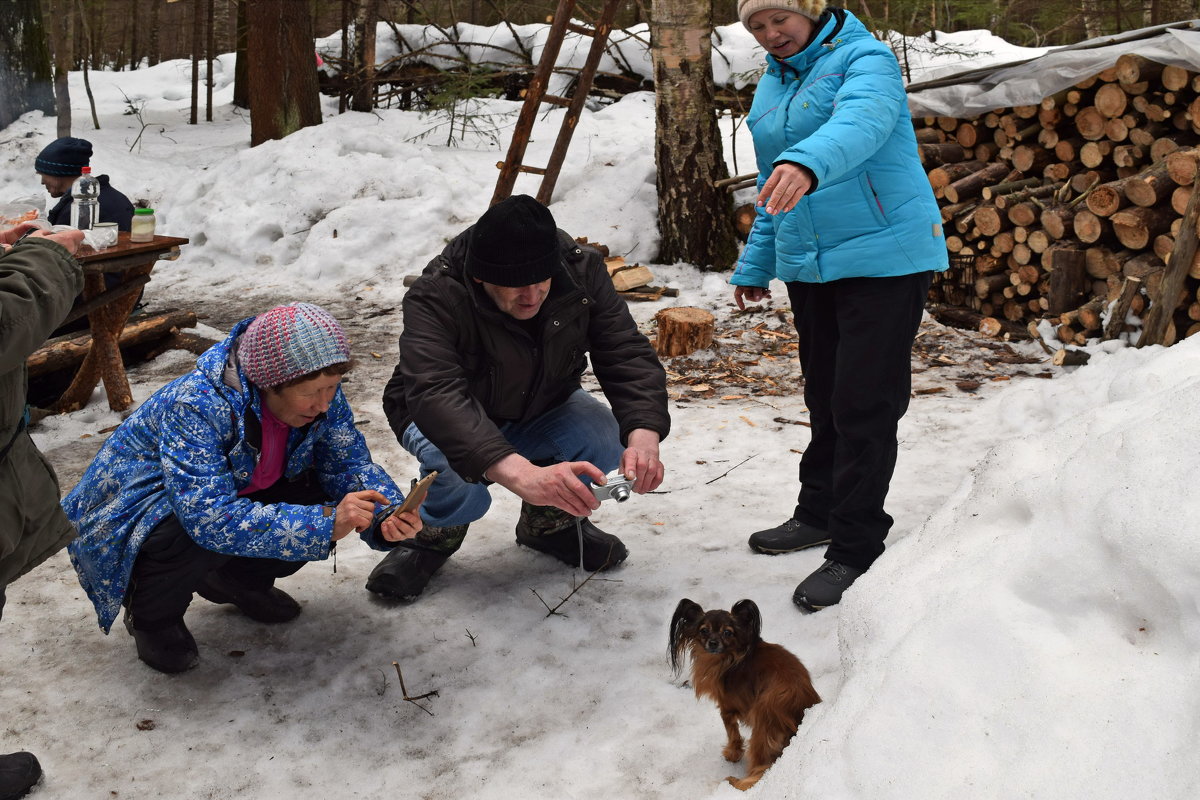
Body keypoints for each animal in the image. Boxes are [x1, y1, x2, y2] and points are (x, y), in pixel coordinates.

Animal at [672, 597, 820, 791]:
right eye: (703, 630)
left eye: (728, 633)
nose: (713, 642)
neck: (731, 656)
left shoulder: (727, 707)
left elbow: (732, 733)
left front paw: (732, 753)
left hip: (762, 732)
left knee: (761, 768)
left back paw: (738, 783)